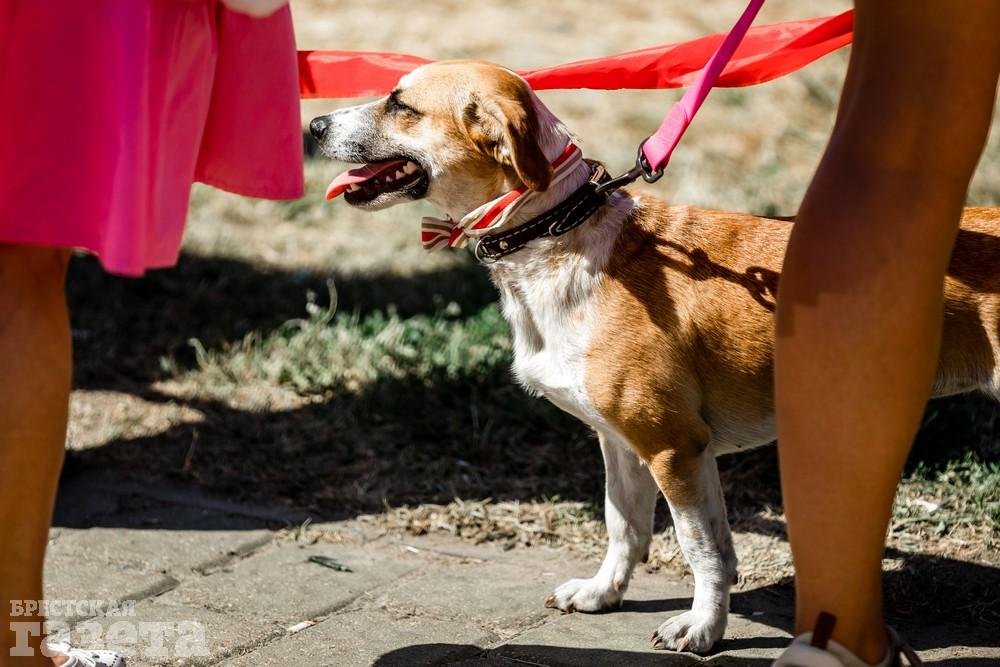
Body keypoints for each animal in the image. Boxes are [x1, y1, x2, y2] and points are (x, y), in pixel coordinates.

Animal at [309, 60, 1000, 652]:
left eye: (401, 105)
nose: (313, 127)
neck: (556, 229)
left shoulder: (673, 447)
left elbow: (701, 549)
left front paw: (702, 629)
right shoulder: (624, 442)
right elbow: (629, 527)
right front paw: (604, 594)